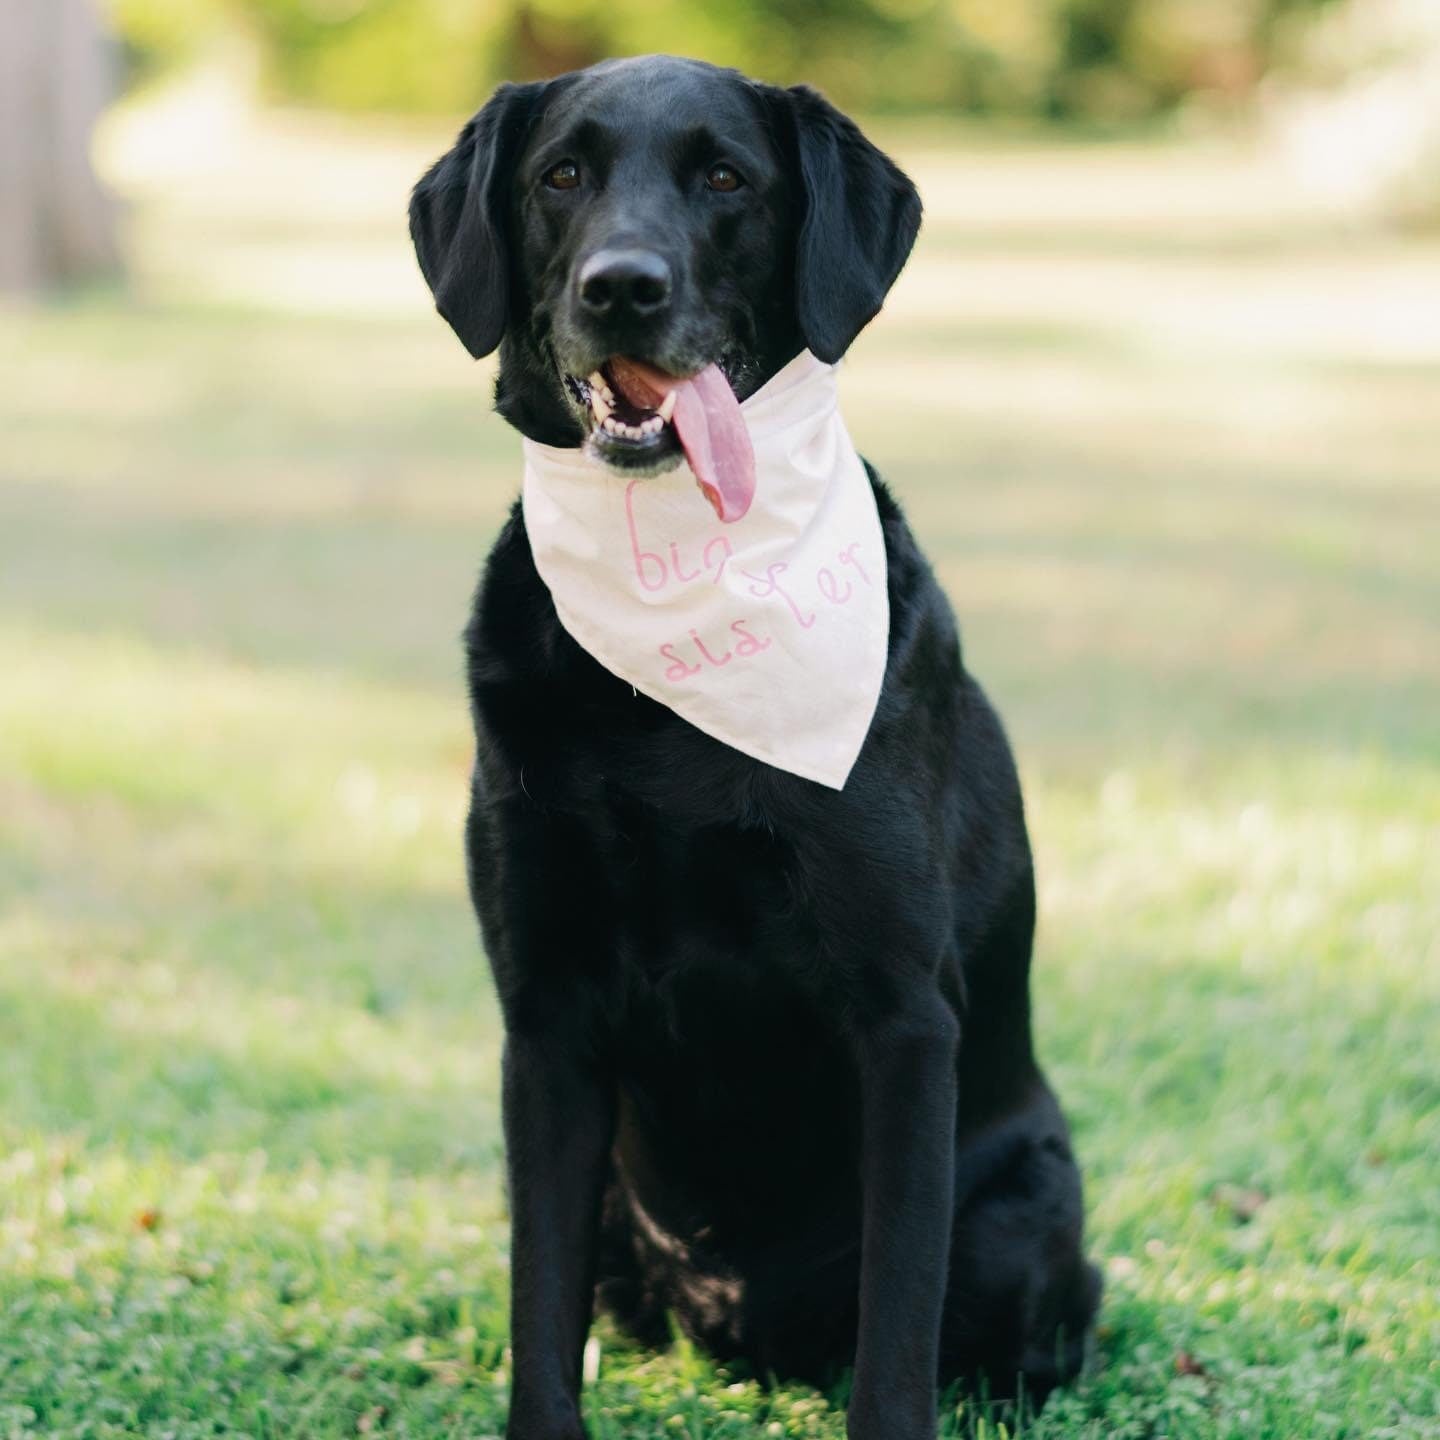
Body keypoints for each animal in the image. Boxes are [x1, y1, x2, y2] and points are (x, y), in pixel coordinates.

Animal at [411, 53, 1094, 1440]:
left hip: (1023, 1219)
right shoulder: (545, 1026)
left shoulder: (904, 1022)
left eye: (726, 177)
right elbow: (538, 1314)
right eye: (561, 174)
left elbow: (898, 1329)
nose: (622, 286)